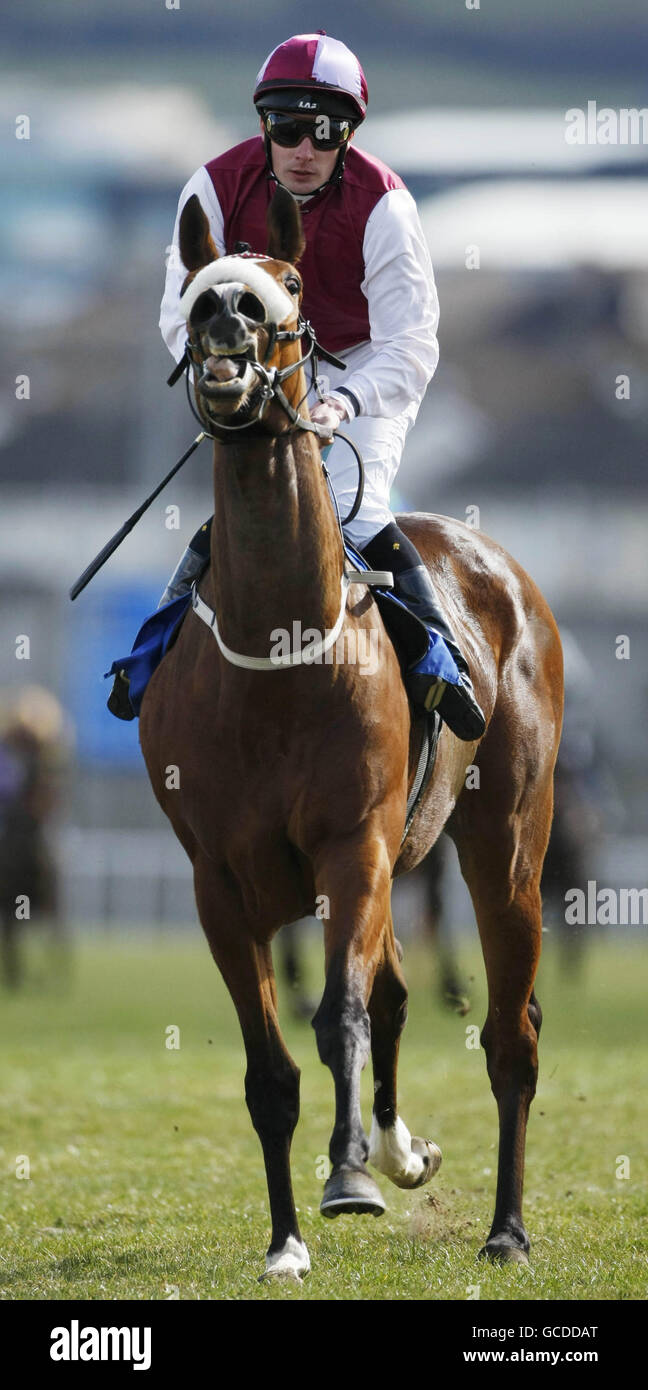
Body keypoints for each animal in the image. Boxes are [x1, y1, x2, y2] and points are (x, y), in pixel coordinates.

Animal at [139, 187, 564, 1278]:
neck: (280, 650)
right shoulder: (218, 880)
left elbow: (342, 1019)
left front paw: (349, 1178)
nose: (228, 316)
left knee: (511, 1034)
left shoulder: (353, 847)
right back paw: (405, 1151)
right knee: (407, 993)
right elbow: (271, 1066)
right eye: (198, 282)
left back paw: (505, 1227)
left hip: (507, 840)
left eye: (286, 280)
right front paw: (288, 1238)